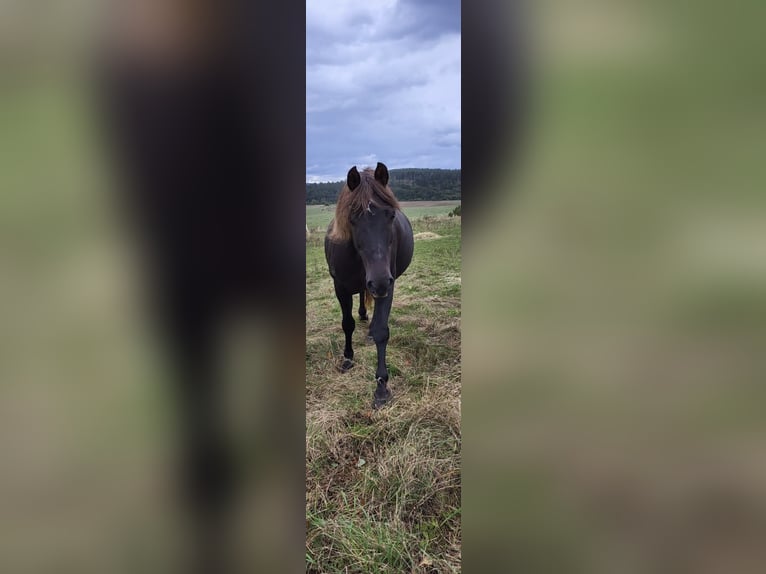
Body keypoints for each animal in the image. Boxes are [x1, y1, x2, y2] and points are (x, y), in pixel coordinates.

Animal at [325, 162, 414, 408]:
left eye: (391, 215)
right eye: (352, 217)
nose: (380, 281)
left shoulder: (387, 286)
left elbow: (382, 331)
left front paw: (381, 388)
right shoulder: (341, 287)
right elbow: (347, 324)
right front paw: (347, 358)